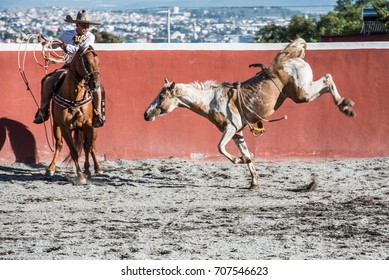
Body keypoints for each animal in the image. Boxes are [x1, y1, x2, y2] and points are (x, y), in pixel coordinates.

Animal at [46, 45, 103, 184]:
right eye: (86, 61)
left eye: (98, 62)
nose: (95, 84)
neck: (74, 98)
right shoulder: (65, 128)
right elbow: (73, 151)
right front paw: (81, 175)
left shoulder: (88, 125)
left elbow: (87, 147)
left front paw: (87, 171)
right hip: (56, 127)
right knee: (59, 145)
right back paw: (51, 168)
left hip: (94, 128)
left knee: (92, 147)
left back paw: (98, 168)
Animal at [143, 37, 354, 190]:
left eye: (161, 96)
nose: (146, 114)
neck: (211, 101)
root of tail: (290, 60)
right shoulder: (238, 132)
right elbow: (245, 153)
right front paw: (253, 180)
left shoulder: (231, 127)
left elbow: (220, 147)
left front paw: (240, 159)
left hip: (303, 94)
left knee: (327, 79)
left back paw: (345, 106)